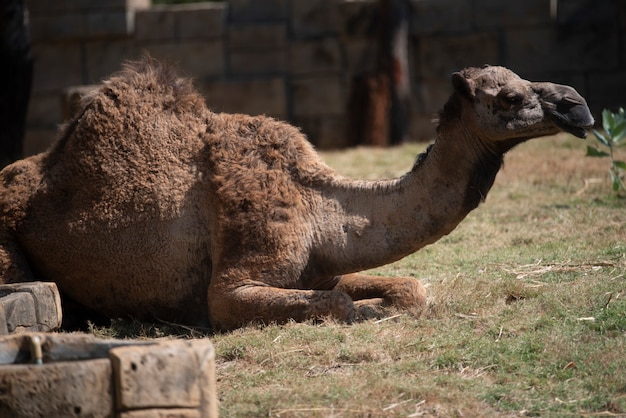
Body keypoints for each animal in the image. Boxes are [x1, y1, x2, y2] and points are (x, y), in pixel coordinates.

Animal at [0, 59, 588, 334]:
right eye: (508, 97)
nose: (576, 105)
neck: (319, 207)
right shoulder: (234, 283)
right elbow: (338, 306)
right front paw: (368, 310)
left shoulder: (321, 266)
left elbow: (408, 287)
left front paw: (382, 301)